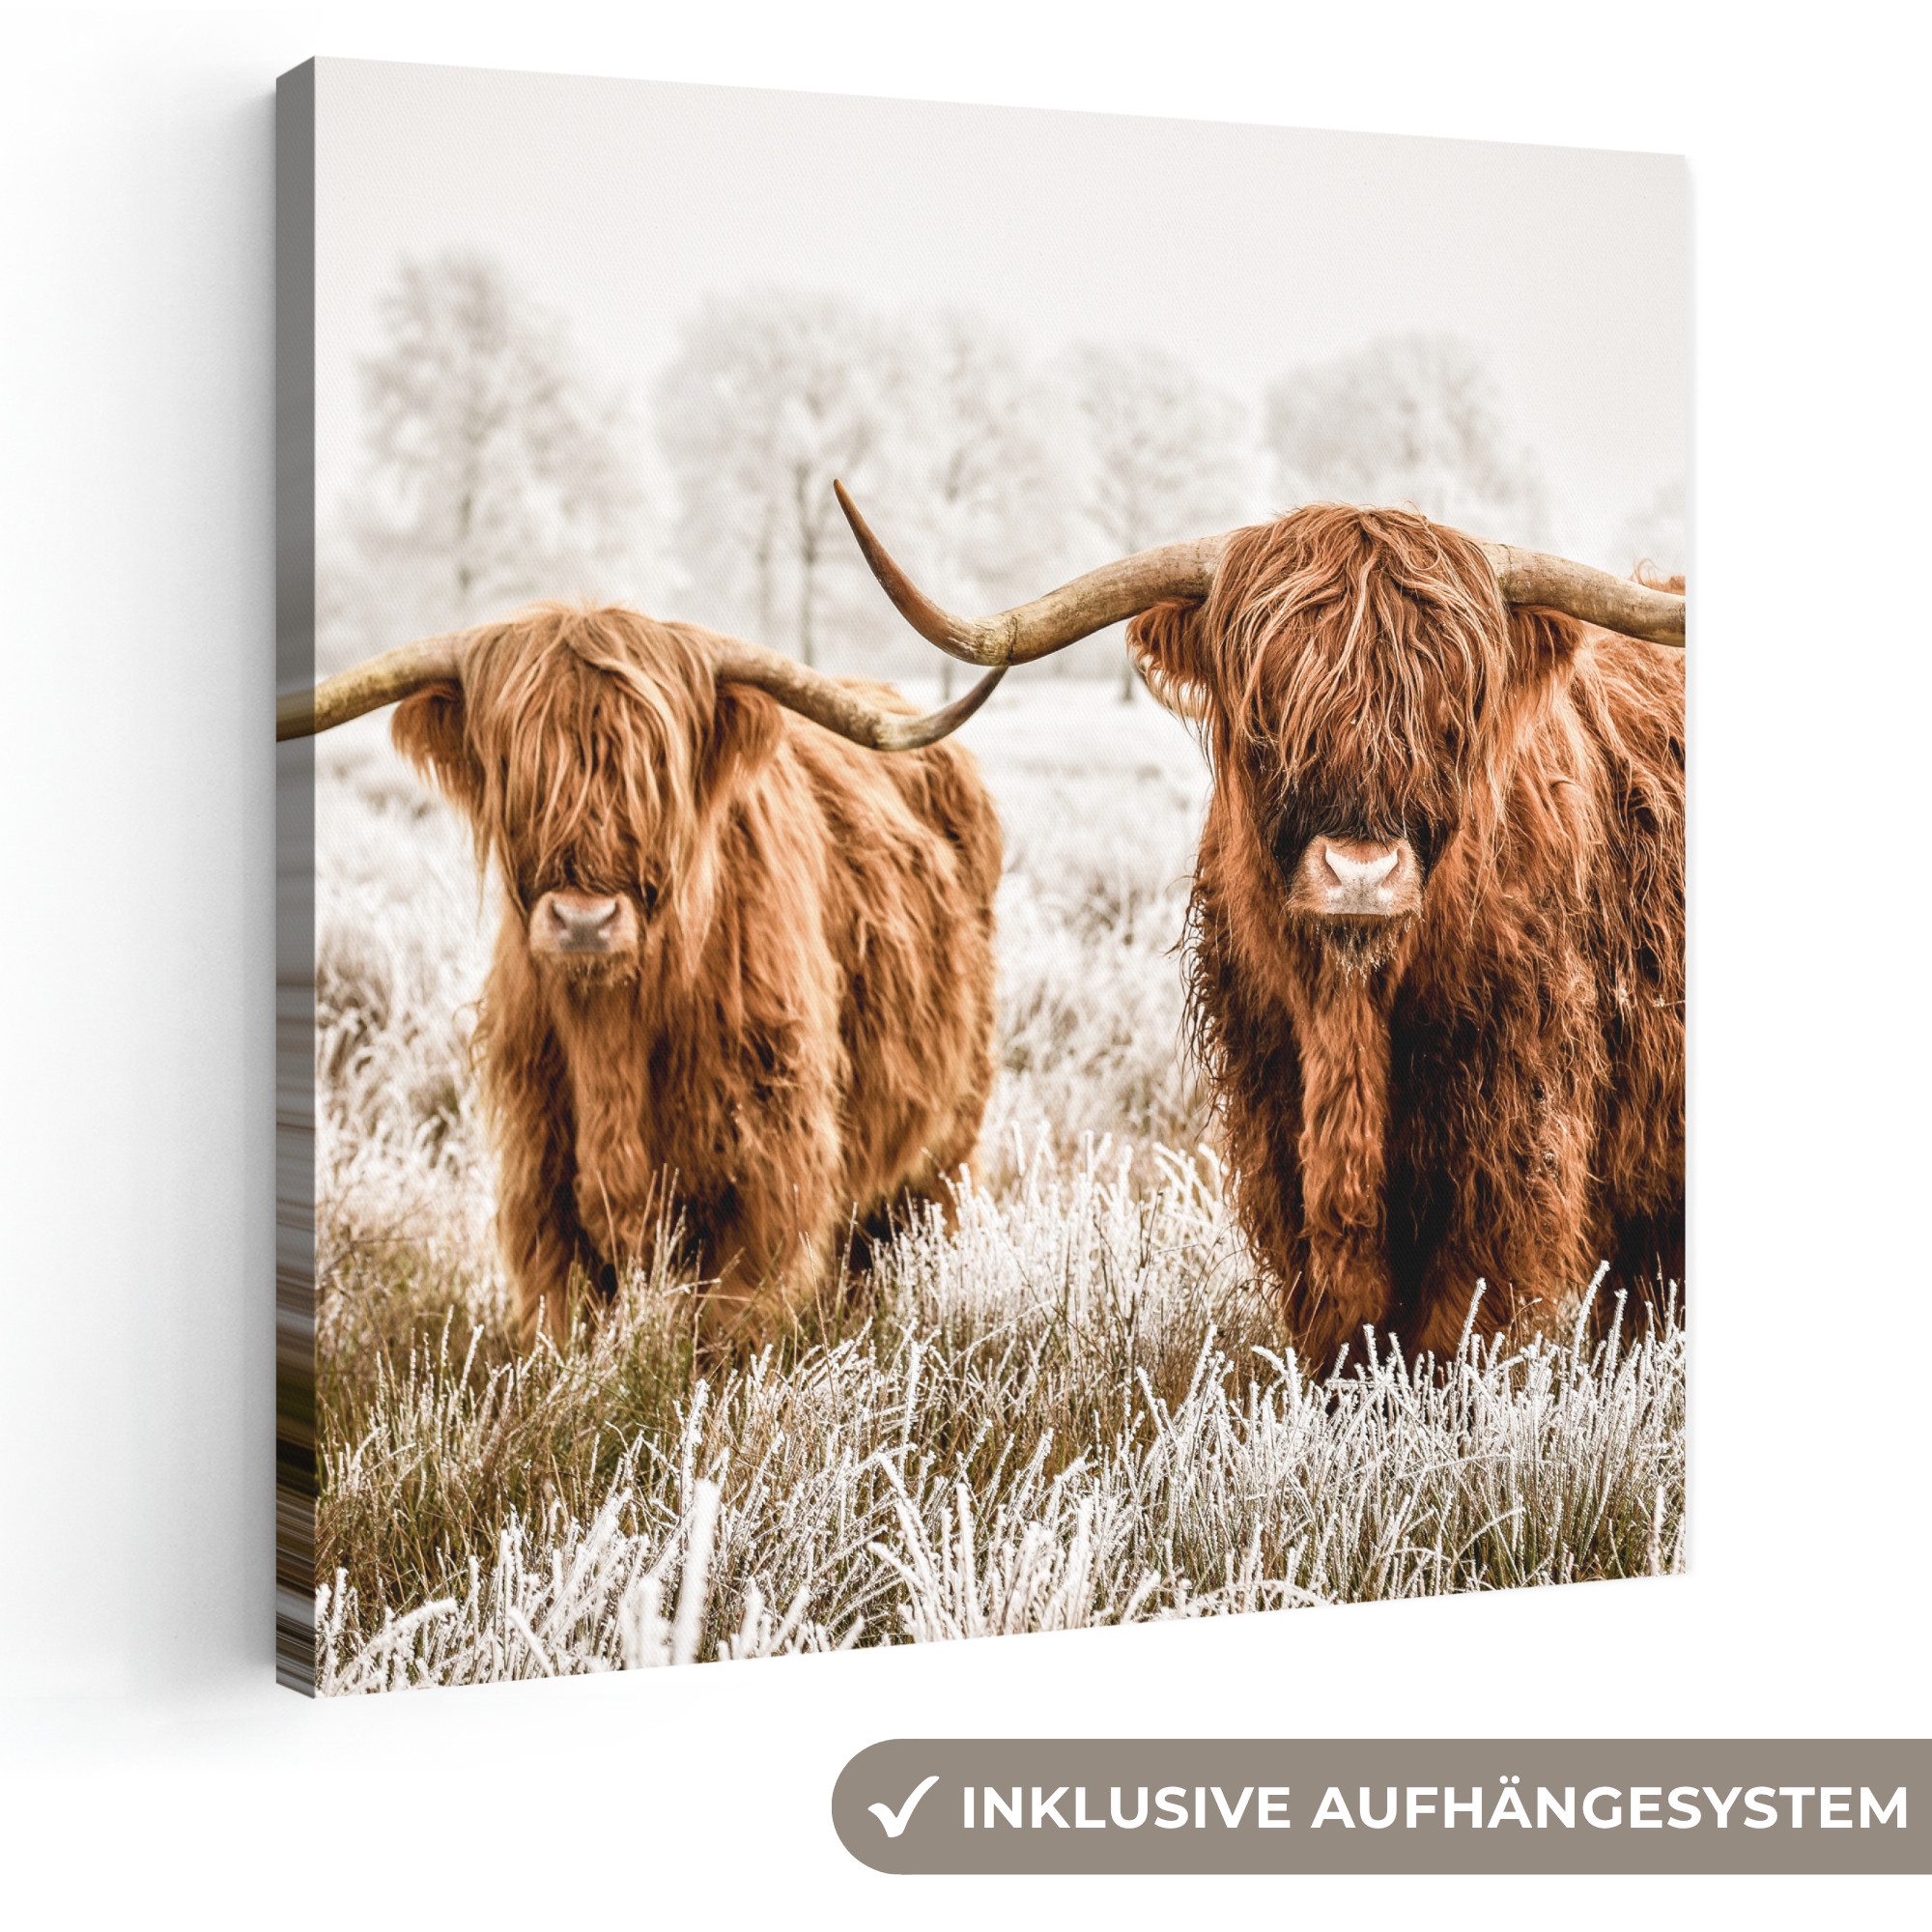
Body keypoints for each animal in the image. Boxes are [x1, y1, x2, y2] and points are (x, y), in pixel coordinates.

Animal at [279, 604, 1005, 1350]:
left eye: (657, 769)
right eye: (513, 764)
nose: (583, 921)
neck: (612, 1034)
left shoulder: (770, 1168)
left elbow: (730, 1325)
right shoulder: (541, 1173)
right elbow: (562, 1320)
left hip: (948, 1135)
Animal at [835, 482, 1685, 1370]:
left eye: (1454, 713)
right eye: (1267, 716)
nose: (1360, 873)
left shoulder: (1510, 1138)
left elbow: (1457, 1322)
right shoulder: (1277, 1121)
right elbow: (1342, 1322)